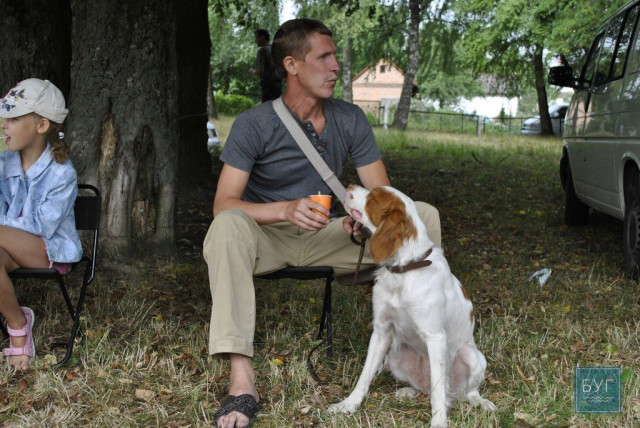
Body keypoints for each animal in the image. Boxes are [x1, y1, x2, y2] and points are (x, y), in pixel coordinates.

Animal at [328, 185, 495, 428]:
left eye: (373, 196)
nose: (349, 186)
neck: (404, 270)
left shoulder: (436, 337)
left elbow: (438, 391)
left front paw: (438, 422)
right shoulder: (381, 330)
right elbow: (365, 374)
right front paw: (348, 405)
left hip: (472, 356)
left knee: (464, 392)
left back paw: (480, 402)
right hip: (396, 355)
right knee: (426, 389)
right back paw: (408, 392)